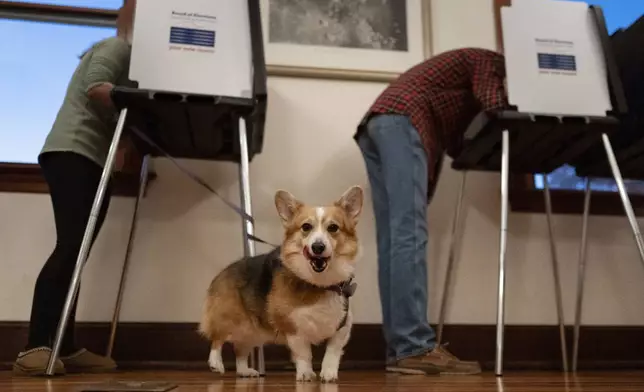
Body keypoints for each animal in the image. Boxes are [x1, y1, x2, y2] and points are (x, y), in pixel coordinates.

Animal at [199, 186, 364, 382]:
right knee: (218, 339)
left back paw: (245, 371)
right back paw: (216, 363)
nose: (318, 247)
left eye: (333, 228)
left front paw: (328, 374)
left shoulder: (342, 327)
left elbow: (332, 353)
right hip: (230, 318)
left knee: (240, 351)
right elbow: (304, 354)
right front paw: (306, 373)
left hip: (252, 331)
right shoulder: (293, 327)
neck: (319, 284)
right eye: (306, 227)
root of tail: (223, 271)